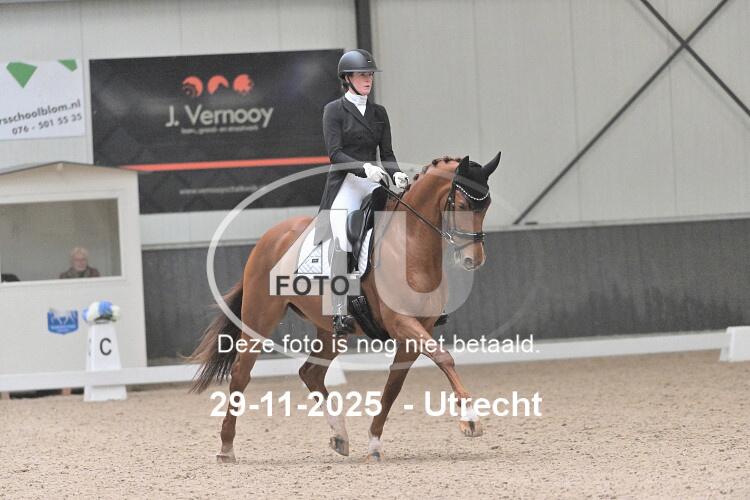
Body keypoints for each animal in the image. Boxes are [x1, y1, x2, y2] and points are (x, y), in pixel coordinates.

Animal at [190, 153, 501, 463]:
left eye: (486, 206)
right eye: (462, 205)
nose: (474, 260)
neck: (409, 245)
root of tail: (269, 237)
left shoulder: (416, 331)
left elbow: (394, 385)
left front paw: (374, 442)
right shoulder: (402, 323)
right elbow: (444, 358)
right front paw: (471, 420)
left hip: (331, 330)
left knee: (310, 372)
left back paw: (340, 435)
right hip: (259, 318)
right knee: (241, 373)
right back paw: (226, 448)